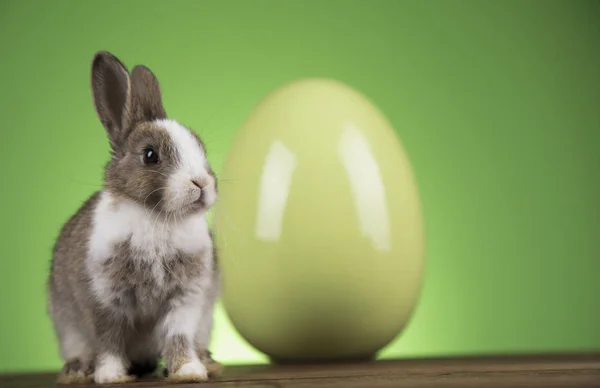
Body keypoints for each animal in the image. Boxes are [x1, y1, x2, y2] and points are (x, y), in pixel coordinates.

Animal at [47, 52, 224, 384]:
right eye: (150, 155)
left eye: (201, 148)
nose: (201, 183)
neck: (158, 219)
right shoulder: (104, 299)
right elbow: (110, 340)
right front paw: (111, 376)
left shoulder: (187, 299)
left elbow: (178, 336)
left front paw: (188, 371)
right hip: (66, 325)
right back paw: (76, 371)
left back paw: (207, 362)